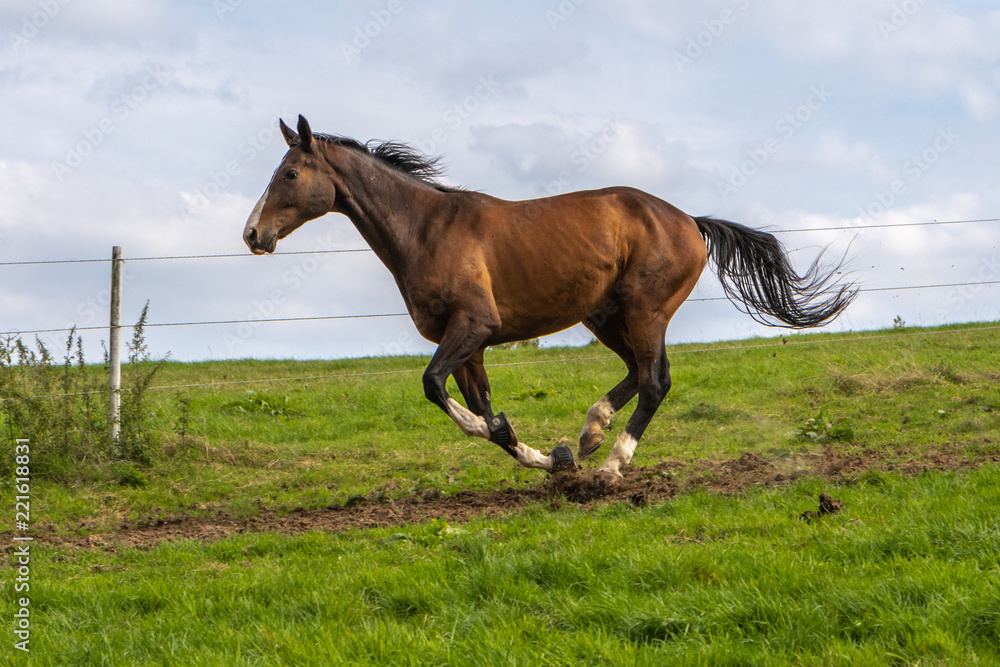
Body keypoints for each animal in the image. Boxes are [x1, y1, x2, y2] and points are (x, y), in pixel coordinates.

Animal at [243, 115, 855, 484]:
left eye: (291, 173)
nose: (252, 234)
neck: (427, 230)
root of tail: (690, 222)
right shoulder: (470, 343)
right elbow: (485, 411)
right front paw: (550, 458)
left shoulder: (473, 327)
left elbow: (440, 391)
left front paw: (543, 452)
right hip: (606, 315)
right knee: (638, 373)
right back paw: (589, 434)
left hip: (645, 309)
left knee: (655, 381)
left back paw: (611, 465)